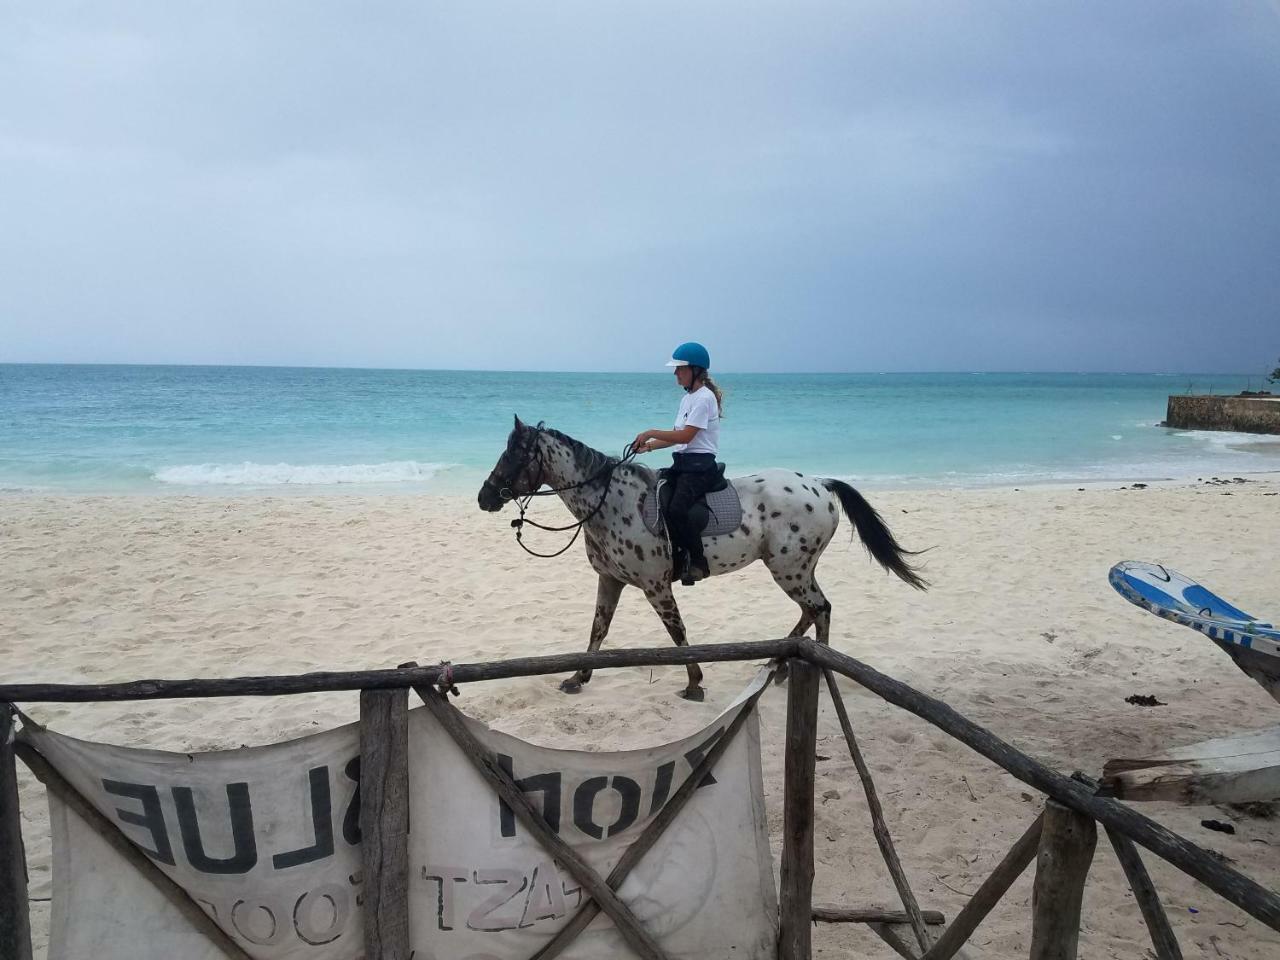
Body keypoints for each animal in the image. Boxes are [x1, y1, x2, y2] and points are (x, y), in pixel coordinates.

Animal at [476, 417, 926, 701]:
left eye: (514, 455)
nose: (484, 497)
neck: (611, 503)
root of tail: (819, 483)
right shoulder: (610, 579)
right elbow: (598, 631)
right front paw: (577, 677)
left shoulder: (655, 585)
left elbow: (677, 634)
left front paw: (694, 682)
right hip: (798, 569)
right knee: (812, 611)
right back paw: (780, 663)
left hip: (789, 570)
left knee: (820, 609)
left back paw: (816, 670)